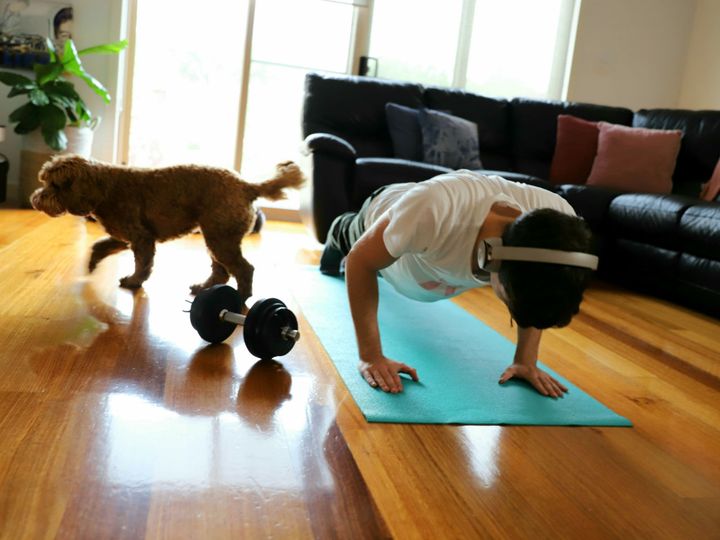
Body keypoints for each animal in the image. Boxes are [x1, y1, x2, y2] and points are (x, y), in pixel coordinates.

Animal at [31, 154, 306, 300]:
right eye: (44, 181)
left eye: (55, 185)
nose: (35, 200)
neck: (104, 187)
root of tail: (246, 186)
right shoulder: (124, 236)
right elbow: (100, 246)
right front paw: (91, 264)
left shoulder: (141, 238)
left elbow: (142, 265)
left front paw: (133, 281)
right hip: (216, 237)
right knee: (221, 272)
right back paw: (203, 288)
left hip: (221, 238)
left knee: (244, 269)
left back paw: (241, 297)